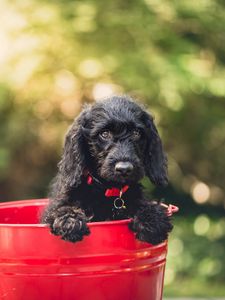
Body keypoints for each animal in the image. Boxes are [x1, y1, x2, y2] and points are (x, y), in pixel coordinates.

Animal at [42, 96, 172, 244]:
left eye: (136, 133)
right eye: (104, 134)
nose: (124, 169)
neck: (108, 189)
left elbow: (143, 204)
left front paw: (152, 219)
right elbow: (62, 209)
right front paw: (69, 221)